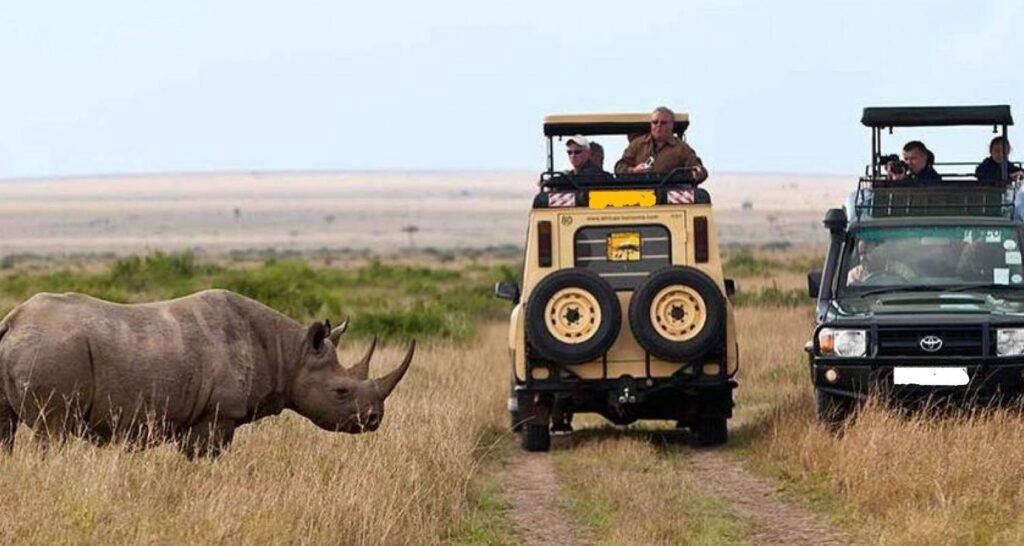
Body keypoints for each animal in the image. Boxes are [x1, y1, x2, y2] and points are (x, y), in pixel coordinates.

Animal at [0, 288, 411, 454]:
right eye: (341, 392)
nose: (375, 419)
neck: (290, 353)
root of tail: (14, 320)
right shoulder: (217, 415)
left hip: (34, 346)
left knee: (6, 431)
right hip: (53, 349)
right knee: (54, 432)